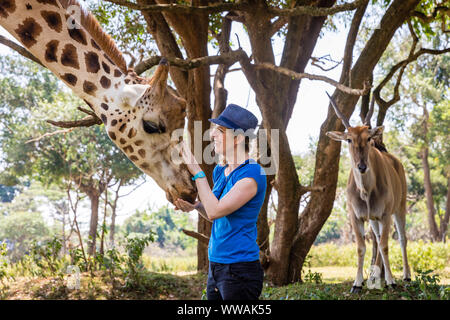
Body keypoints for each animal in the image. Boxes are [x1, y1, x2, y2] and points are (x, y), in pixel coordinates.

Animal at [326, 92, 410, 292]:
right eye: (349, 139)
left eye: (369, 139)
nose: (362, 166)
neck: (365, 191)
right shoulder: (356, 217)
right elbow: (362, 247)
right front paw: (357, 283)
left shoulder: (385, 215)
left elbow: (386, 245)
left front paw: (391, 281)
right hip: (373, 219)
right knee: (377, 241)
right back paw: (374, 276)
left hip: (399, 208)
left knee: (402, 239)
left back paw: (406, 276)